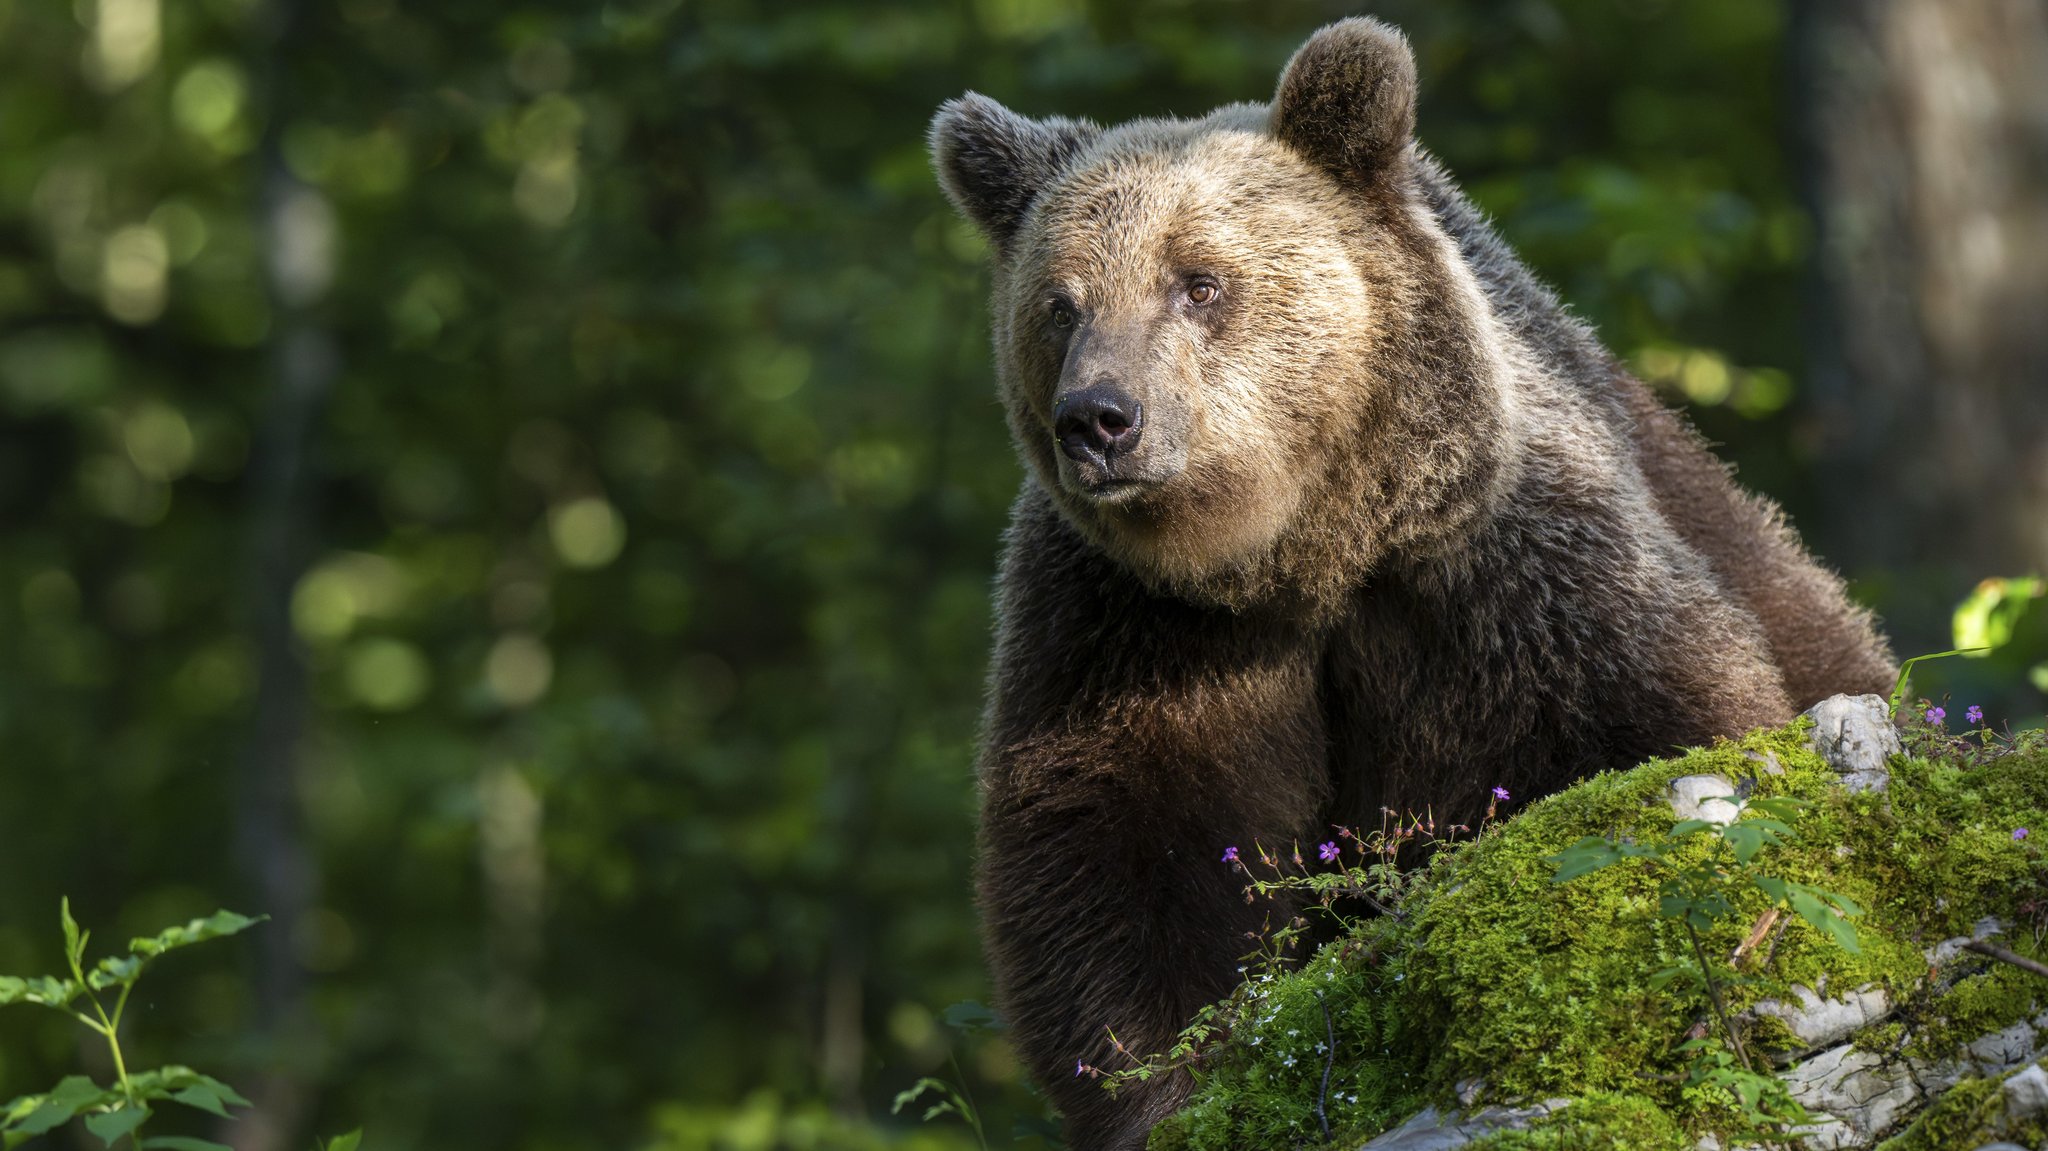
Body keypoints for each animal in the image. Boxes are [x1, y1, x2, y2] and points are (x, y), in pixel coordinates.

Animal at [929, 17, 1884, 1146]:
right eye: (1058, 304)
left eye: (1198, 280)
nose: (1100, 419)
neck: (1303, 554)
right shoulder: (1128, 625)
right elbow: (1120, 845)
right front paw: (1174, 1081)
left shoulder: (1502, 571)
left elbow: (1651, 729)